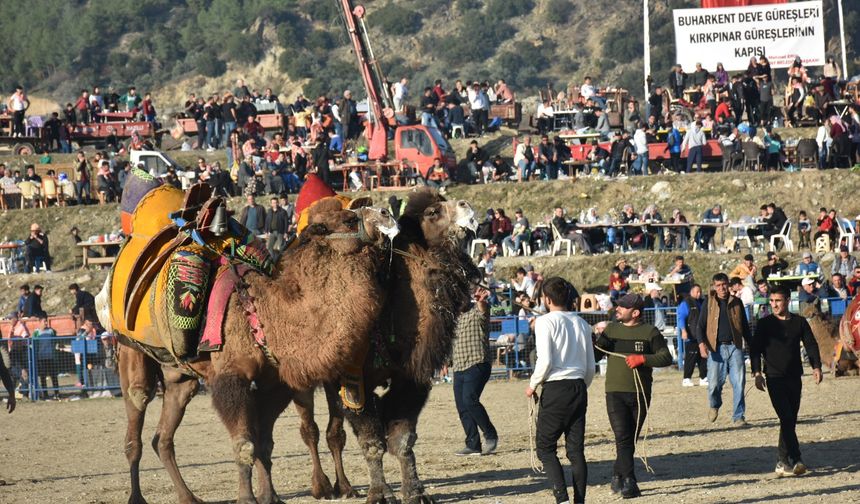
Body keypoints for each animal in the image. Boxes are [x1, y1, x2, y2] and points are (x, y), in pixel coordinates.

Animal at [110, 201, 400, 504]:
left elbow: (264, 443)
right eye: (348, 218)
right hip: (130, 349)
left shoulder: (274, 383)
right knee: (136, 415)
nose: (386, 212)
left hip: (180, 377)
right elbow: (245, 444)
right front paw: (248, 497)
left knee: (164, 436)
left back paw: (189, 497)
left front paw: (270, 496)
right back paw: (137, 497)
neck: (264, 315)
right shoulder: (232, 379)